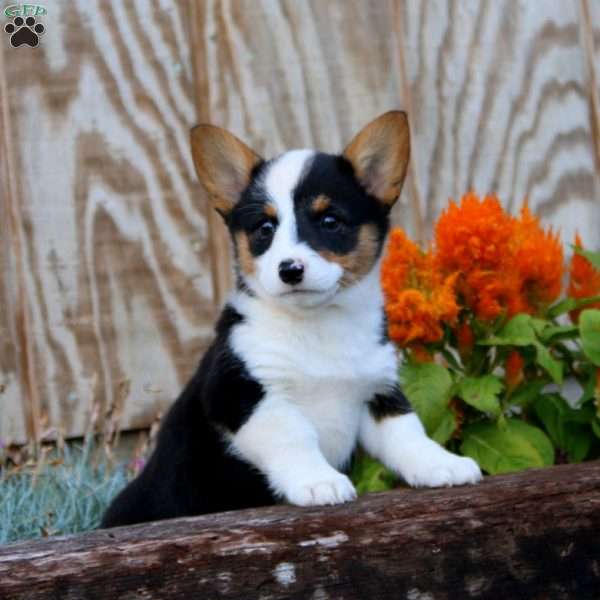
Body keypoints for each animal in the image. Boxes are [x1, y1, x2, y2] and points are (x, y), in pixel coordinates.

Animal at [101, 110, 480, 528]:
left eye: (329, 221)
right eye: (265, 229)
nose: (290, 270)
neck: (319, 324)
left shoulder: (379, 392)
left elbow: (408, 433)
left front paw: (442, 464)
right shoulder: (244, 394)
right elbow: (294, 435)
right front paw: (320, 482)